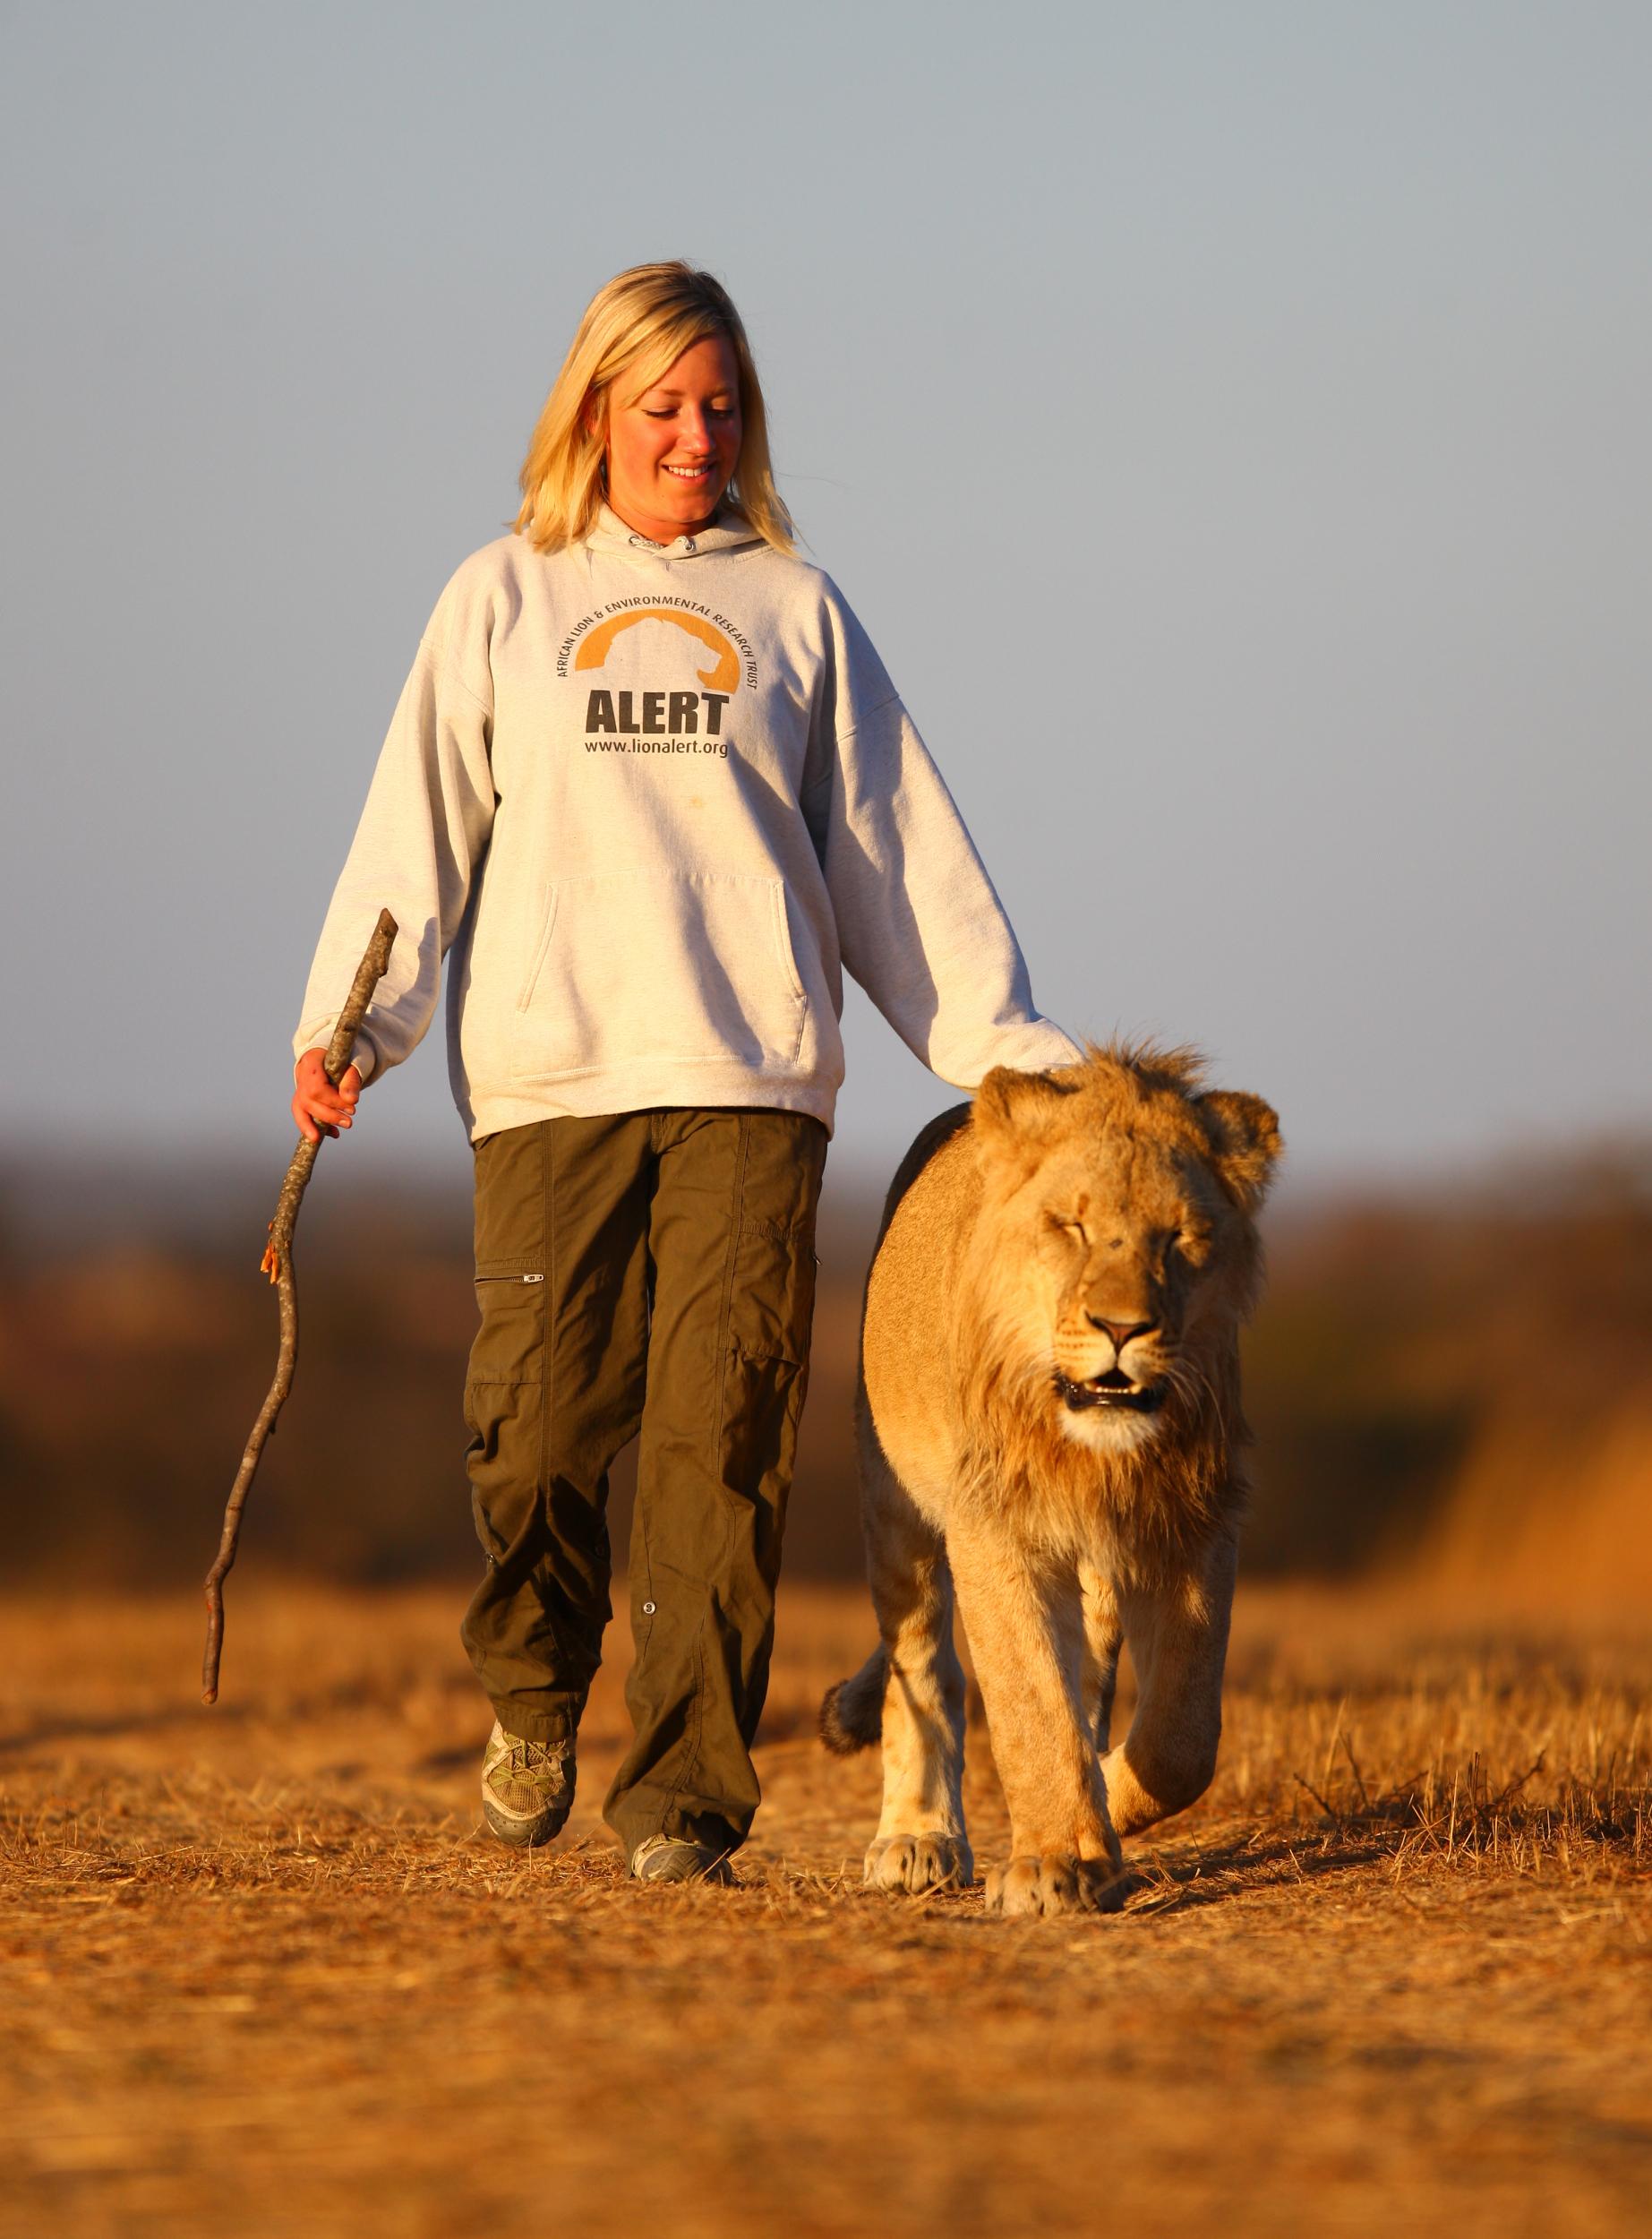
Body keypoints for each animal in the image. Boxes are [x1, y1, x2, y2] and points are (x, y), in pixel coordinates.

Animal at [819, 1039, 1280, 1917]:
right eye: (1071, 1224)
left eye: (1180, 1236)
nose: (1122, 1328)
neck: (1096, 1454)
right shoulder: (996, 1528)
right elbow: (1030, 1704)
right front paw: (1055, 1862)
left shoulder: (1195, 1524)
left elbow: (1181, 1741)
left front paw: (1102, 1816)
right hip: (891, 1502)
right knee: (922, 1667)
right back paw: (917, 1839)